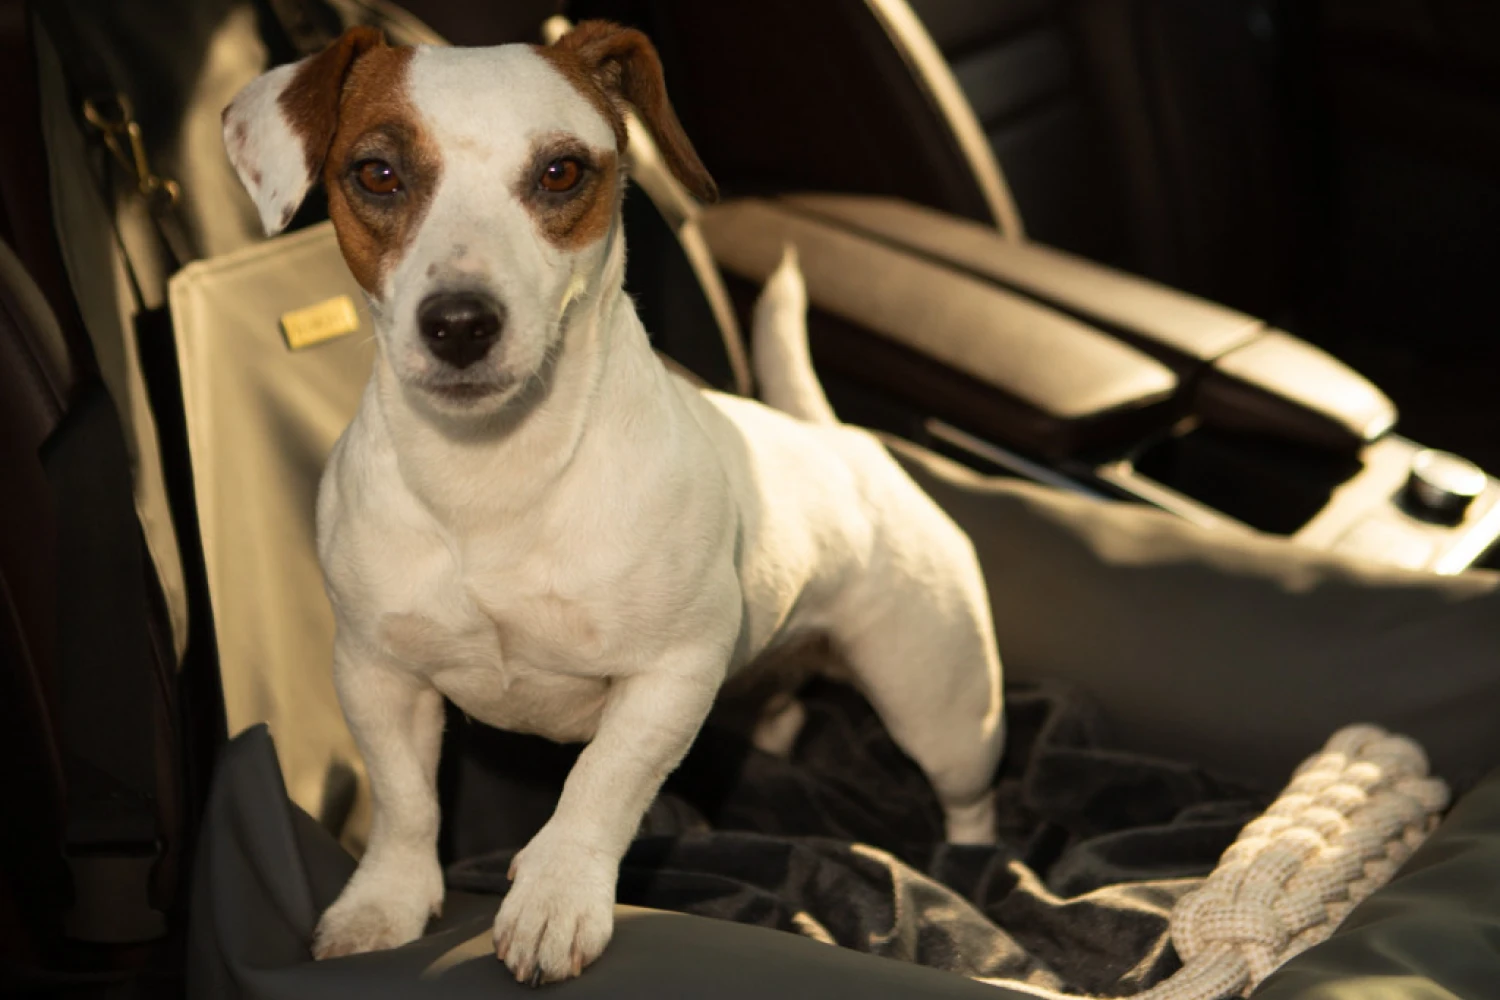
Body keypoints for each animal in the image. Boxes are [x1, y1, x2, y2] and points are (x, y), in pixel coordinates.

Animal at [222, 17, 1002, 983]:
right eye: (377, 173)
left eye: (561, 172)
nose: (460, 324)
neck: (493, 478)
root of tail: (841, 440)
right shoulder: (376, 673)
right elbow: (406, 802)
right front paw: (386, 905)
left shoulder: (671, 673)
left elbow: (601, 783)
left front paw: (556, 896)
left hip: (941, 705)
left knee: (968, 797)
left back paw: (969, 869)